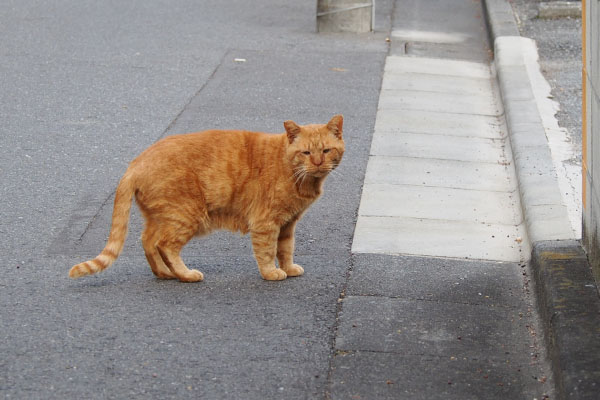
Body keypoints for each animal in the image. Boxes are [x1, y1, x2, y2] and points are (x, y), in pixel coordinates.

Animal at [68, 115, 344, 282]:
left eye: (326, 151)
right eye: (306, 153)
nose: (317, 163)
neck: (300, 177)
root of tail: (137, 162)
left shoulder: (287, 224)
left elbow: (285, 249)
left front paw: (288, 268)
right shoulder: (266, 223)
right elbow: (266, 251)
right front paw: (271, 273)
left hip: (161, 217)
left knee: (148, 242)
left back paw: (164, 273)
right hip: (186, 215)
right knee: (165, 245)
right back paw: (185, 274)